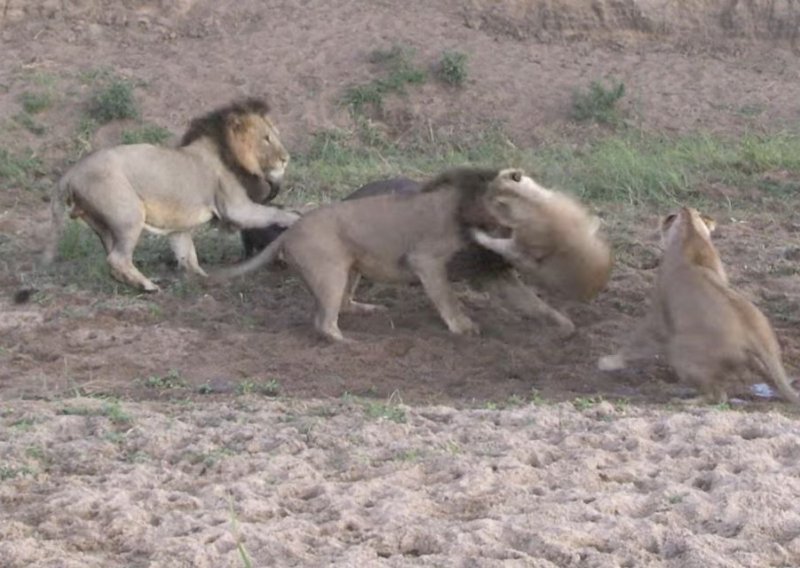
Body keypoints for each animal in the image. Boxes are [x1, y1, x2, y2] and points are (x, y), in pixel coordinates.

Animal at [41, 97, 296, 290]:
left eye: (274, 135)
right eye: (266, 138)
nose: (286, 158)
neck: (227, 152)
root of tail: (71, 172)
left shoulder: (179, 228)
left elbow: (187, 256)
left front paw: (201, 279)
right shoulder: (235, 208)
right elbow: (273, 213)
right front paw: (295, 218)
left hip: (104, 225)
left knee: (112, 257)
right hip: (129, 214)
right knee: (117, 258)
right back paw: (147, 286)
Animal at [214, 166, 612, 340]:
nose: (514, 172)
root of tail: (290, 231)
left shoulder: (495, 275)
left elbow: (535, 305)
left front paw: (565, 326)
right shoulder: (427, 260)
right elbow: (447, 298)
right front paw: (463, 327)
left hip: (351, 268)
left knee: (344, 305)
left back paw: (369, 310)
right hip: (330, 271)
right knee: (324, 322)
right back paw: (350, 342)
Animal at [600, 206, 800, 406]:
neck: (692, 233)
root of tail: (758, 336)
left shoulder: (659, 311)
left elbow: (638, 339)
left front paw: (610, 362)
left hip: (681, 353)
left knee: (718, 396)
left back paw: (682, 400)